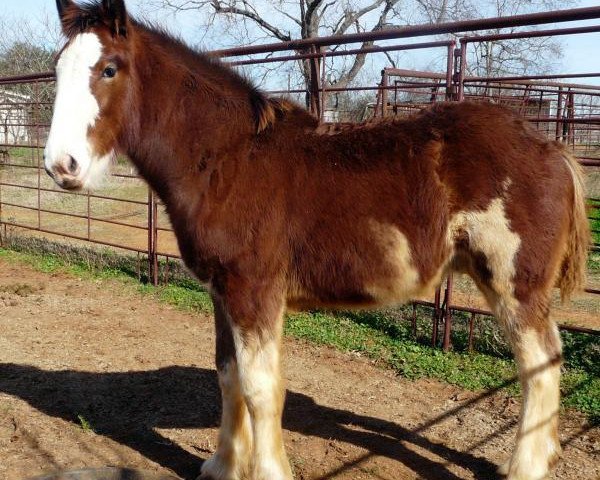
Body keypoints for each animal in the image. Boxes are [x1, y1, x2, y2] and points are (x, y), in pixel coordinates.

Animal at [44, 1, 588, 478]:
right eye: (57, 69)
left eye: (108, 69)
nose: (60, 166)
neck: (227, 160)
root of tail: (551, 147)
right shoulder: (223, 294)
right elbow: (229, 377)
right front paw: (222, 466)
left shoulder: (255, 293)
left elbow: (261, 388)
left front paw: (267, 471)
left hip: (513, 284)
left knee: (540, 365)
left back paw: (526, 467)